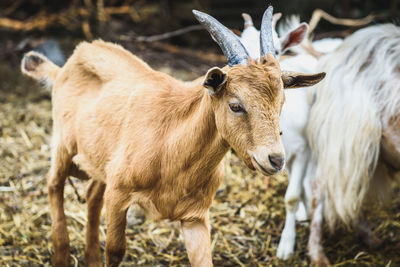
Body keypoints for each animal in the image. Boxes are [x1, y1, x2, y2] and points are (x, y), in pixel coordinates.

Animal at [20, 7, 324, 266]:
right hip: (63, 144)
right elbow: (116, 250)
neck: (171, 148)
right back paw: (61, 255)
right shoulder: (118, 194)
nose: (275, 159)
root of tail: (69, 63)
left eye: (282, 102)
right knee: (54, 184)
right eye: (235, 105)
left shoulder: (195, 217)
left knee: (93, 194)